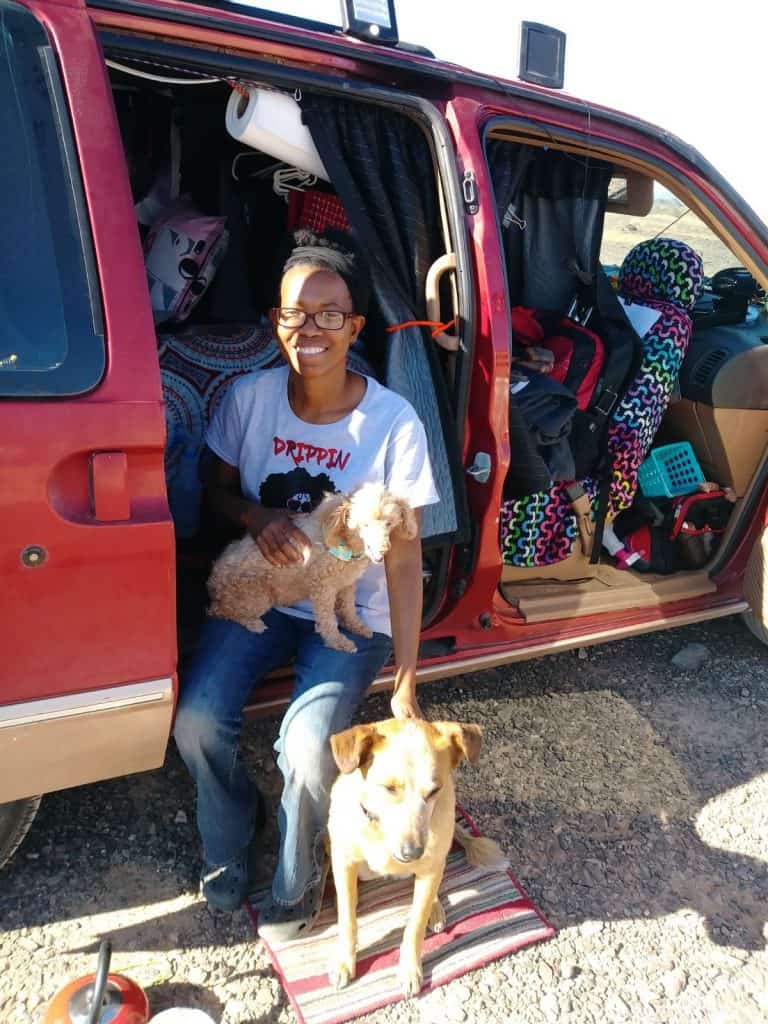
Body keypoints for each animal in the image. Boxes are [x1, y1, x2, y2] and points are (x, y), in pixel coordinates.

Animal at [327, 716, 507, 995]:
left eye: (433, 791)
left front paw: (410, 969)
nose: (412, 852)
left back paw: (435, 908)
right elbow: (347, 919)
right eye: (389, 788)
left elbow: (415, 925)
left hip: (436, 863)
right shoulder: (343, 860)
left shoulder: (430, 868)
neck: (380, 833)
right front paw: (344, 961)